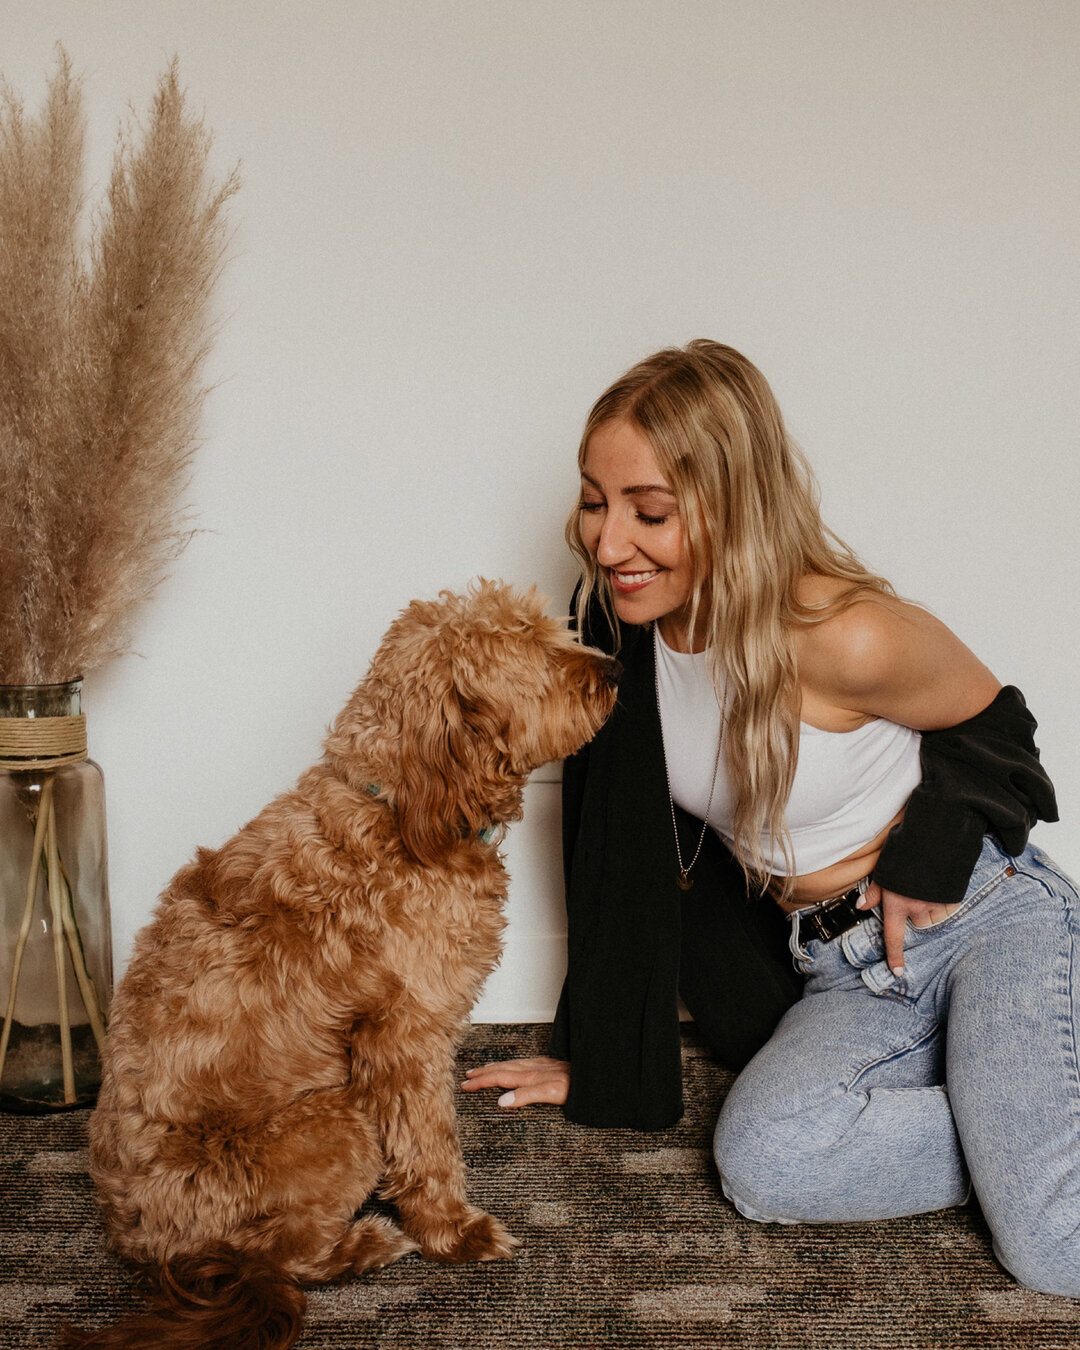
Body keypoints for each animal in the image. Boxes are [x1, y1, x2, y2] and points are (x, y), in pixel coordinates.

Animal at [67, 580, 621, 1350]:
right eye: (530, 646)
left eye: (553, 629)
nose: (616, 669)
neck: (398, 811)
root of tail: (145, 1245)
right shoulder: (405, 1040)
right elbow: (428, 1144)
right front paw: (454, 1231)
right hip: (340, 1123)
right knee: (283, 1256)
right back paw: (366, 1244)